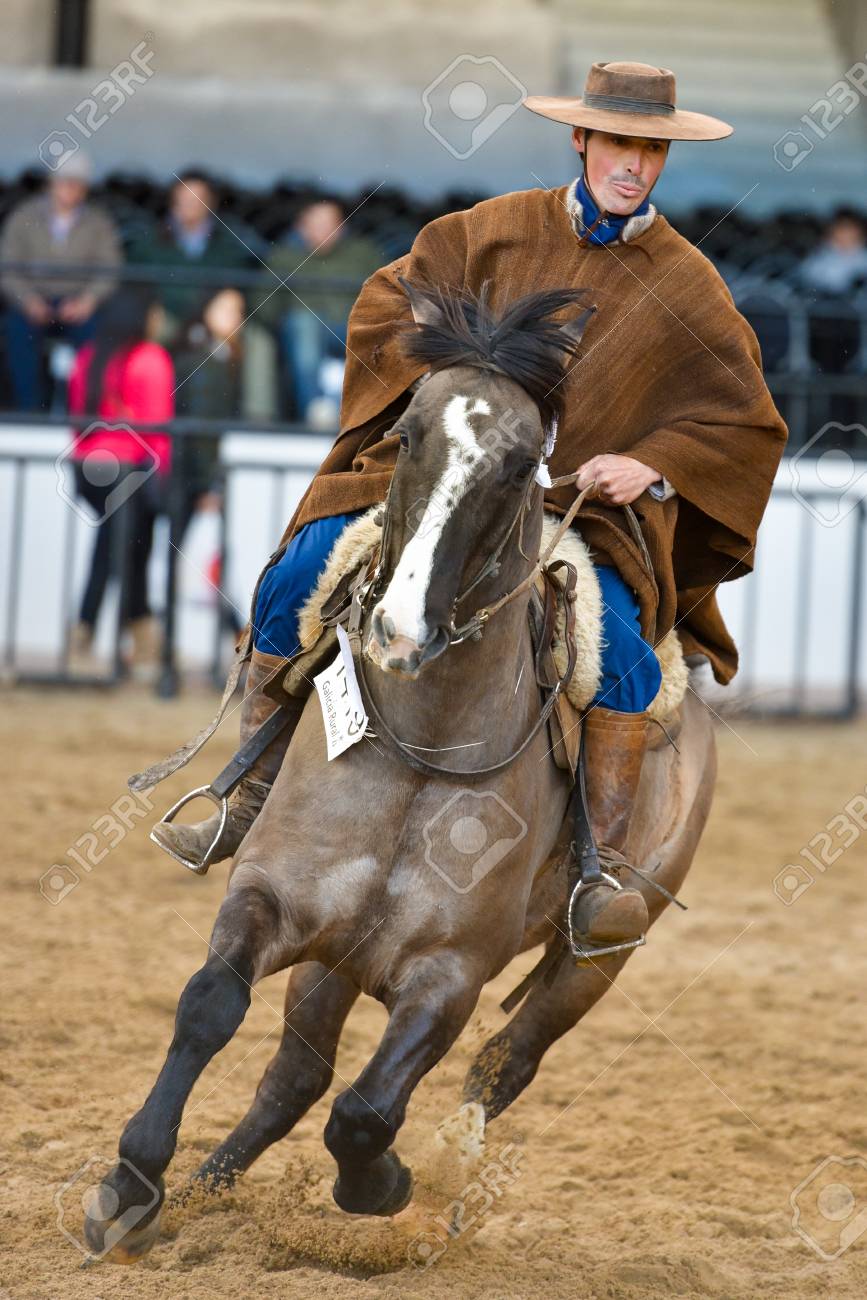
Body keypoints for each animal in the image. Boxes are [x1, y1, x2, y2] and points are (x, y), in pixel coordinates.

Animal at [84, 281, 716, 1262]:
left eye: (521, 463)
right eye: (410, 432)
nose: (399, 631)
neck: (423, 744)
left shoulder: (449, 974)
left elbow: (367, 1112)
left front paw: (380, 1186)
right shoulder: (273, 899)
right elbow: (209, 1006)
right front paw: (130, 1185)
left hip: (593, 961)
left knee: (498, 1067)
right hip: (336, 957)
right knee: (292, 1077)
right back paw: (195, 1194)